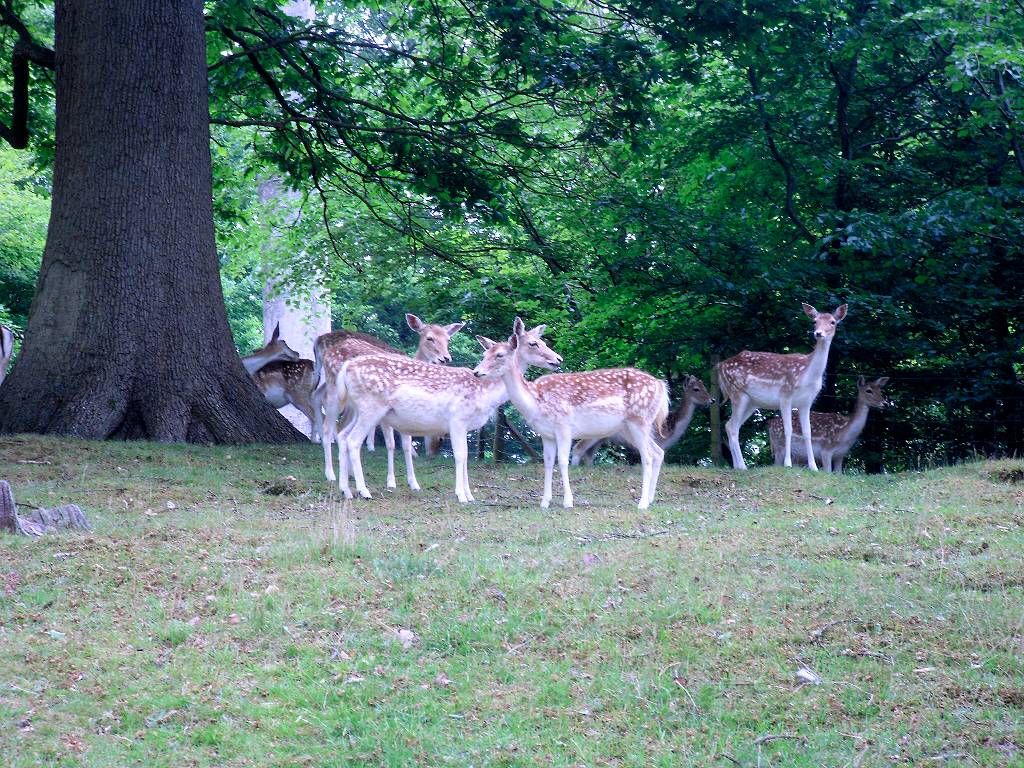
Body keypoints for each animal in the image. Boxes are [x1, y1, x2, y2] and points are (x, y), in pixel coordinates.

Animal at [313, 313, 466, 483]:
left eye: (448, 339)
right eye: (429, 338)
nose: (445, 358)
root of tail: (322, 345)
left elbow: (406, 443)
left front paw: (412, 481)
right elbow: (391, 443)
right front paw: (391, 480)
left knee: (340, 425)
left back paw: (349, 472)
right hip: (335, 390)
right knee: (329, 424)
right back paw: (330, 473)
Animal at [325, 317, 561, 501]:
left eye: (542, 340)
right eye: (533, 343)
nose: (557, 359)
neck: (485, 394)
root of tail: (347, 368)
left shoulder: (466, 426)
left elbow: (465, 457)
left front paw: (470, 495)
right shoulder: (456, 418)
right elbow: (460, 456)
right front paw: (461, 495)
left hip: (358, 409)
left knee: (342, 435)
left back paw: (346, 490)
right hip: (369, 407)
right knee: (351, 440)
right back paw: (363, 491)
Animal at [473, 325, 667, 512]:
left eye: (499, 355)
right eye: (484, 354)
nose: (476, 372)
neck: (535, 402)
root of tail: (661, 385)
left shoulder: (564, 426)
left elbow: (563, 461)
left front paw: (568, 501)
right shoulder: (546, 434)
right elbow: (548, 462)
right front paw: (545, 502)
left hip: (639, 420)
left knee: (647, 457)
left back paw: (642, 503)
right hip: (628, 427)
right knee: (658, 452)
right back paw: (650, 499)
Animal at [569, 376, 712, 466]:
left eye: (705, 386)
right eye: (696, 389)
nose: (712, 400)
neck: (672, 426)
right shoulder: (659, 440)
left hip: (601, 437)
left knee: (589, 453)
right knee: (578, 448)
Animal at [712, 303, 847, 473]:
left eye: (832, 322)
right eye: (814, 321)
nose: (818, 333)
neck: (807, 375)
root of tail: (720, 366)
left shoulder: (806, 403)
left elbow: (807, 432)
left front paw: (814, 467)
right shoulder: (785, 395)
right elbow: (788, 429)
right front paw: (788, 464)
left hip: (751, 402)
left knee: (730, 425)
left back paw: (737, 466)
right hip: (737, 393)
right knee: (732, 427)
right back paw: (742, 466)